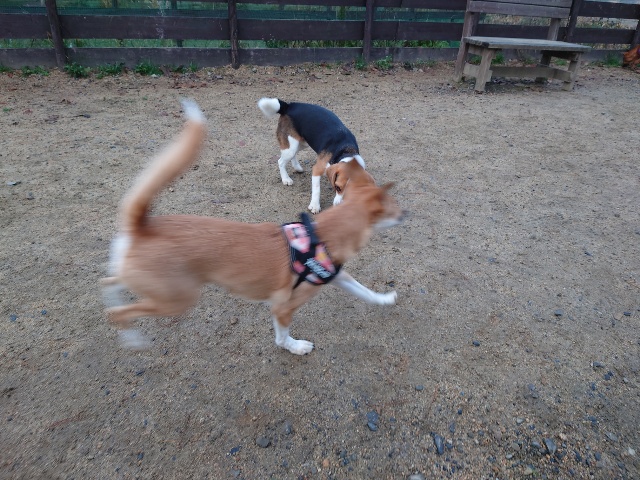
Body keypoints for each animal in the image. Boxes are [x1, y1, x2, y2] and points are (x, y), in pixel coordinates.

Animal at [102, 100, 402, 355]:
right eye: (337, 187)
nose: (405, 215)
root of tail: (142, 226)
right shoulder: (283, 305)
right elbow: (282, 335)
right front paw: (295, 347)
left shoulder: (337, 276)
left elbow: (365, 291)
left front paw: (385, 299)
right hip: (176, 297)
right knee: (281, 160)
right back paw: (132, 338)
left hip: (161, 287)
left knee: (109, 282)